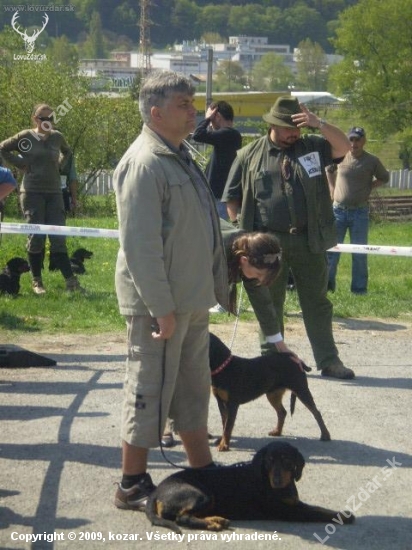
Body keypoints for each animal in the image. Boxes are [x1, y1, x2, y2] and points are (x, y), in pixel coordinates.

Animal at [146, 444, 356, 536]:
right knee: (182, 517)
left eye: (287, 460)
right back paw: (212, 524)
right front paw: (342, 517)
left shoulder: (294, 503)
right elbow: (316, 512)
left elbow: (317, 508)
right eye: (269, 460)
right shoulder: (288, 511)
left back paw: (216, 519)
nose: (277, 481)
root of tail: (155, 492)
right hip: (202, 494)